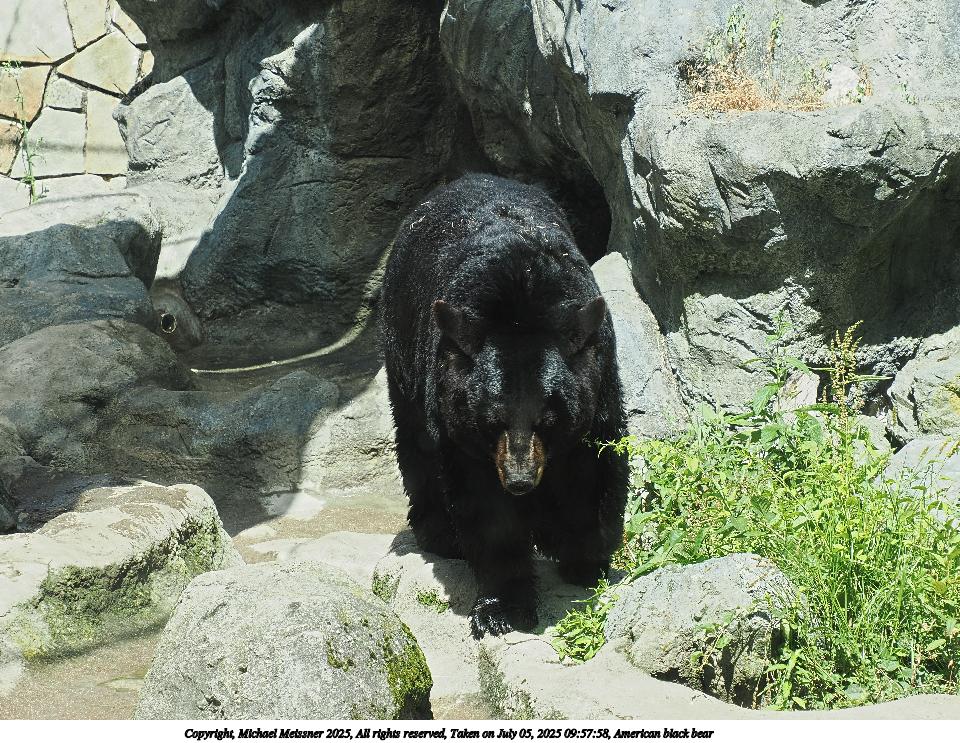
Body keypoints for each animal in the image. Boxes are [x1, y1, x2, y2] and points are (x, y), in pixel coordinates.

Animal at [380, 173, 628, 638]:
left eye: (549, 419)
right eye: (491, 420)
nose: (519, 481)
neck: (520, 297)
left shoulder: (597, 377)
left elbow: (592, 468)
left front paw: (587, 561)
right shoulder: (459, 426)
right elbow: (485, 509)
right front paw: (503, 608)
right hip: (402, 348)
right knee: (415, 442)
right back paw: (440, 535)